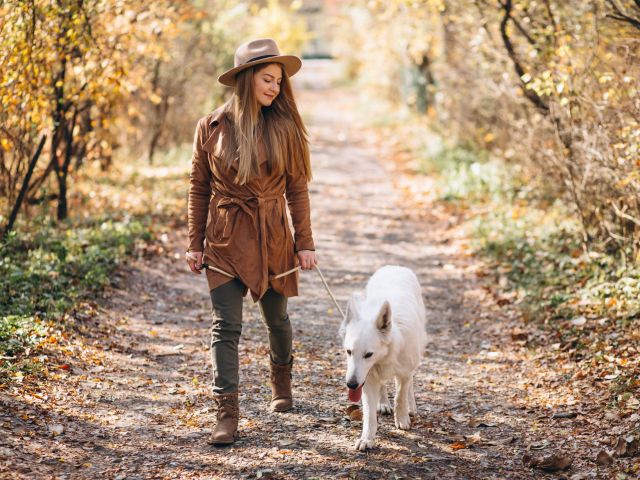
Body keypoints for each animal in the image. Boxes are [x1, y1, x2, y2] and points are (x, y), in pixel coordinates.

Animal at [340, 264, 424, 452]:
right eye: (349, 352)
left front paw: (402, 419)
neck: (387, 355)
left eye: (368, 355)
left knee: (409, 385)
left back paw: (411, 406)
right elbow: (369, 414)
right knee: (383, 385)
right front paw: (367, 439)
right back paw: (384, 403)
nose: (351, 385)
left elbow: (400, 396)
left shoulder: (404, 373)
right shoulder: (367, 379)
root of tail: (395, 267)